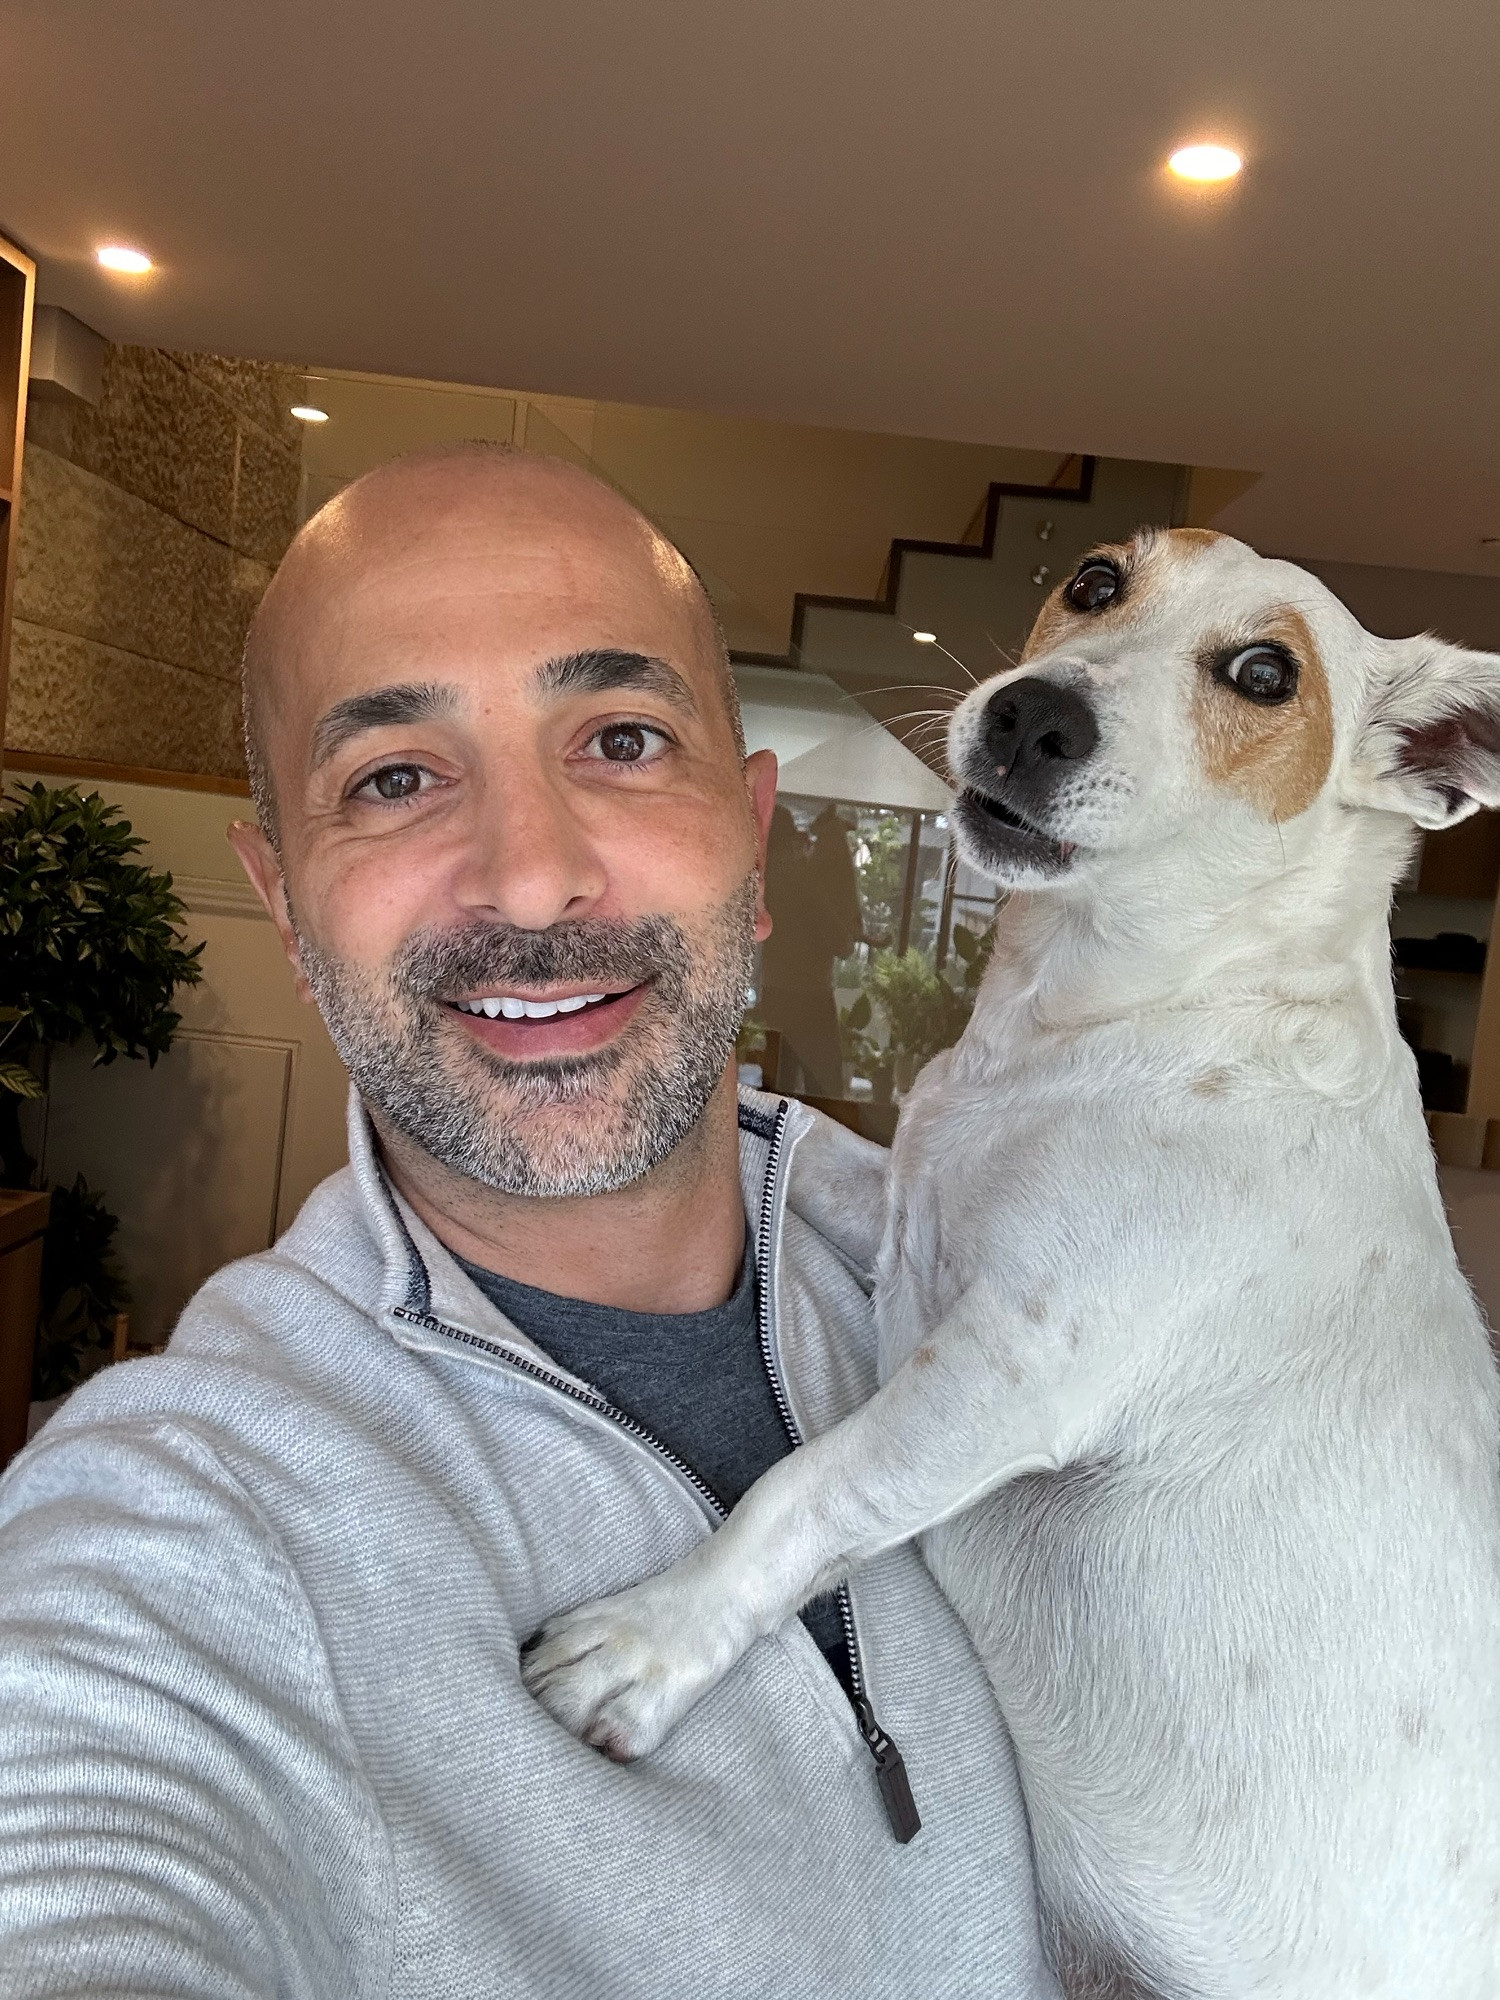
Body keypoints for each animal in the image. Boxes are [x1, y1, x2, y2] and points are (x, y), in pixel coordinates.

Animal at [524, 532, 1500, 2000]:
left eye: (1267, 675)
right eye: (1095, 580)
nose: (1033, 715)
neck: (1124, 1016)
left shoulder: (1009, 1370)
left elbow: (807, 1492)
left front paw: (650, 1640)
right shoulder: (907, 1206)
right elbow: (808, 1148)